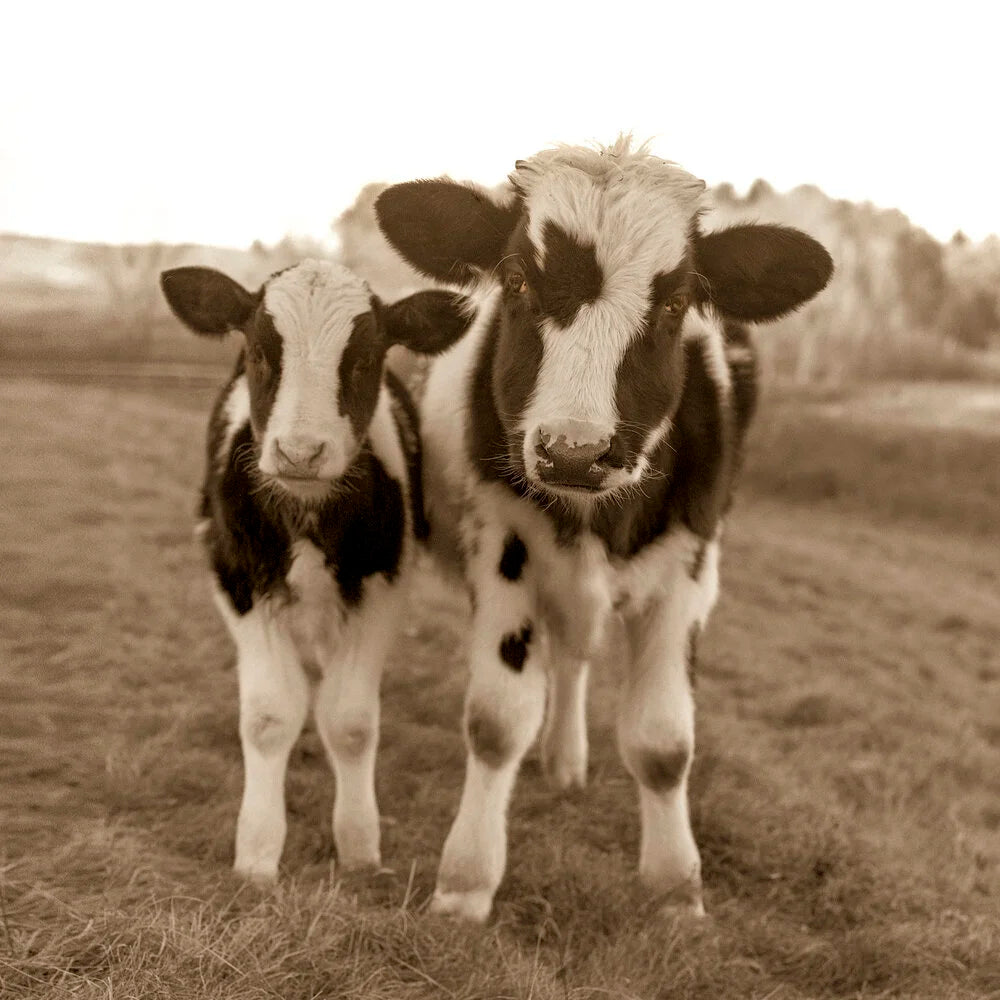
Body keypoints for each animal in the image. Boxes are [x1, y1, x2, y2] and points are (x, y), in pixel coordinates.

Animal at [159, 259, 471, 881]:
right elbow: (268, 716)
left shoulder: (385, 585)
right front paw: (257, 853)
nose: (300, 452)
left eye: (366, 358)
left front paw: (358, 845)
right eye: (259, 352)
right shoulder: (238, 583)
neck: (305, 512)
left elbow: (349, 721)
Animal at [374, 136, 833, 921]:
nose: (574, 451)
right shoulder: (501, 547)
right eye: (517, 283)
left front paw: (677, 888)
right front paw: (466, 881)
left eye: (675, 302)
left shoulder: (692, 570)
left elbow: (664, 742)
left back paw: (566, 760)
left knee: (576, 655)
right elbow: (497, 720)